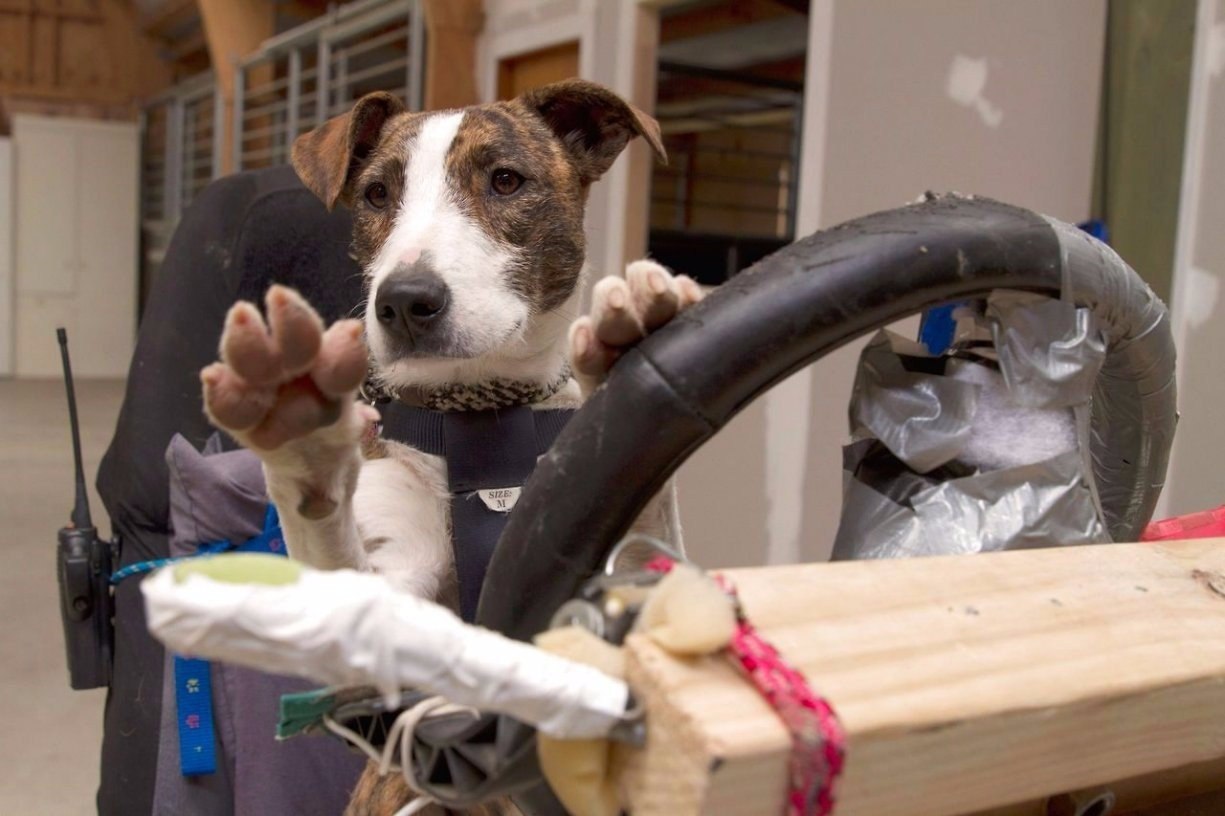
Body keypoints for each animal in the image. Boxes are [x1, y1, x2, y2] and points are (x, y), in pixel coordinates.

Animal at [197, 79, 705, 808]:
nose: (405, 302)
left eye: (505, 180)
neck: (478, 420)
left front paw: (629, 341)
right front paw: (304, 435)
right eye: (378, 194)